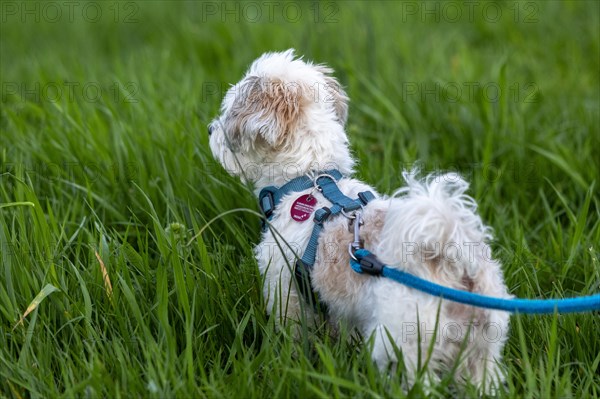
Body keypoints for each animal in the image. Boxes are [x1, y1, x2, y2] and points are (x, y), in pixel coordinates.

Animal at [209, 49, 508, 390]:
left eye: (227, 115)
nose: (210, 130)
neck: (309, 178)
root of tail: (449, 260)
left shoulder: (286, 287)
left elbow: (294, 331)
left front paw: (288, 361)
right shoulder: (345, 309)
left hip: (405, 346)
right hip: (482, 350)